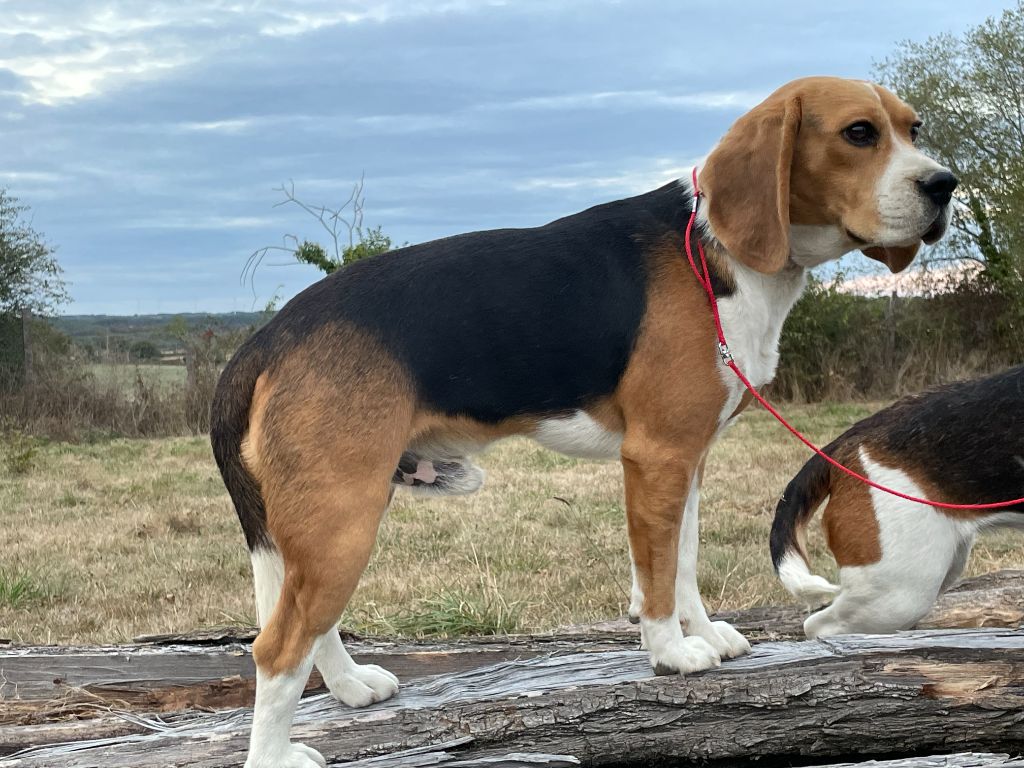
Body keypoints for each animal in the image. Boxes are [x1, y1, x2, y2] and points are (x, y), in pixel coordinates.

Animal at [211, 73, 954, 768]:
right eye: (859, 133)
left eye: (914, 128)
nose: (945, 184)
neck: (714, 251)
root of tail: (265, 339)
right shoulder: (656, 456)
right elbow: (656, 575)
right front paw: (671, 652)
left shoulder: (689, 458)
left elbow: (682, 561)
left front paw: (704, 632)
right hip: (343, 515)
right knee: (276, 646)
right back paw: (274, 751)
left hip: (331, 518)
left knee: (310, 623)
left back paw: (350, 687)